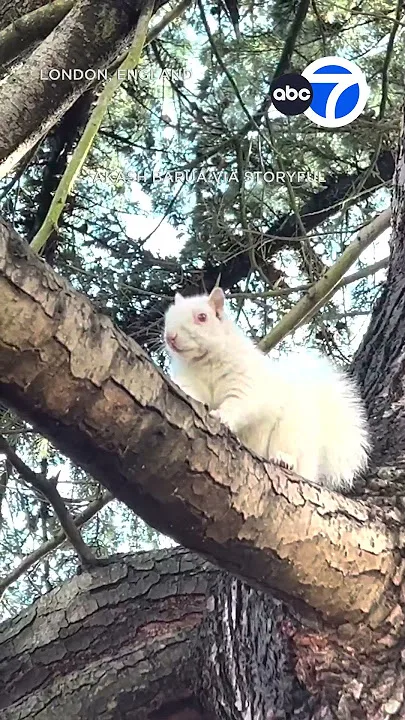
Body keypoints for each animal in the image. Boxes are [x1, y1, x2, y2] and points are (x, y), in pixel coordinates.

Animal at [164, 287, 370, 491]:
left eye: (202, 317)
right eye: (168, 316)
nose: (170, 337)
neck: (205, 363)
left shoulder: (246, 382)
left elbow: (239, 403)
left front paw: (221, 416)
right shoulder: (191, 382)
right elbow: (192, 393)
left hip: (292, 431)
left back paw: (283, 459)